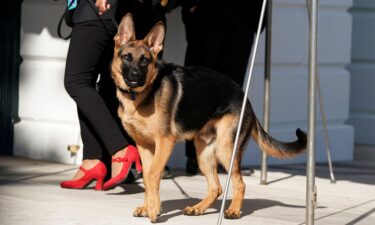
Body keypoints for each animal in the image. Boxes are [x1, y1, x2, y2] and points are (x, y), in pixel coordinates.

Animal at [110, 14, 306, 223]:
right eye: (127, 57)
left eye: (145, 61)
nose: (135, 76)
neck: (140, 95)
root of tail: (245, 98)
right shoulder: (144, 146)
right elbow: (147, 177)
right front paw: (148, 207)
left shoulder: (164, 142)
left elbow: (154, 174)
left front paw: (154, 210)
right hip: (203, 153)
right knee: (216, 187)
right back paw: (198, 208)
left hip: (226, 150)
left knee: (239, 184)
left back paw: (233, 210)